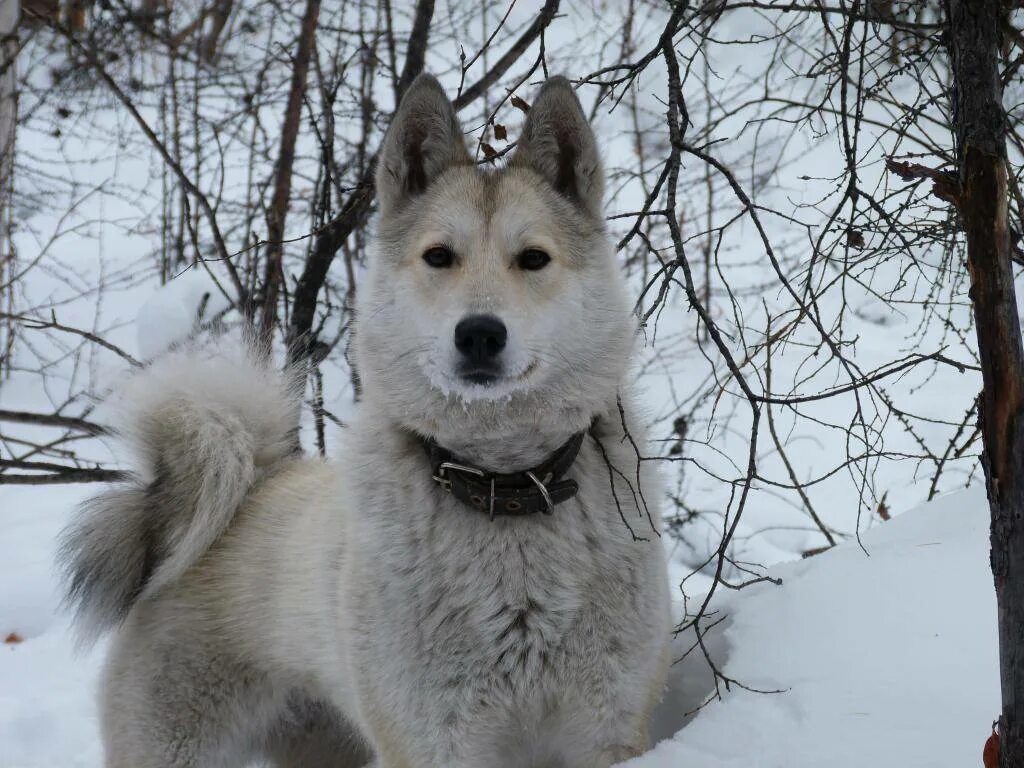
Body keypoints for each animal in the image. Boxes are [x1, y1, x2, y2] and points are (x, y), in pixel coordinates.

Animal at [61, 73, 671, 768]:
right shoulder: (434, 741)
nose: (480, 334)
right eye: (440, 257)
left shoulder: (606, 729)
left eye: (534, 259)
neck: (503, 487)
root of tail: (243, 491)